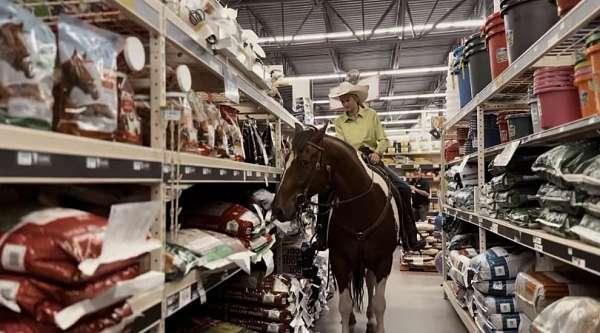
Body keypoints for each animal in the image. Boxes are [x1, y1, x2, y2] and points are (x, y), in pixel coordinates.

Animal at [274, 124, 418, 332]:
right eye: (285, 160)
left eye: (305, 162)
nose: (277, 208)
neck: (361, 209)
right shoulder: (339, 260)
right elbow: (345, 304)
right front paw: (347, 320)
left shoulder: (383, 261)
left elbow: (379, 303)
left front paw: (376, 323)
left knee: (370, 283)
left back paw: (370, 319)